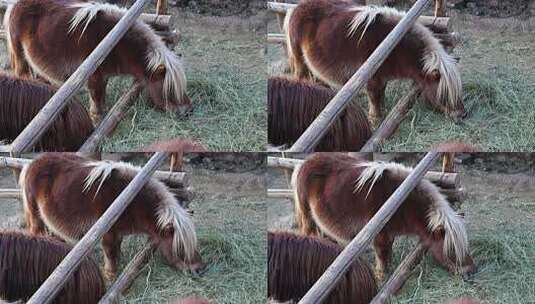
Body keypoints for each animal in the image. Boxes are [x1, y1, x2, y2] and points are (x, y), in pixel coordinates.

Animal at [3, 0, 193, 123]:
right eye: (169, 89)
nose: (188, 111)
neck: (115, 42)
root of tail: (16, 4)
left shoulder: (104, 76)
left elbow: (102, 95)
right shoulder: (94, 76)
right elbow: (96, 96)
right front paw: (97, 118)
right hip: (19, 54)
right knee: (22, 74)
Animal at [19, 153, 204, 282]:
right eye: (180, 247)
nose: (199, 269)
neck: (129, 198)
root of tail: (32, 164)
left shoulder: (118, 233)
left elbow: (117, 248)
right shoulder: (108, 232)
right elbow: (110, 252)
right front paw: (111, 274)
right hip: (34, 214)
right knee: (36, 232)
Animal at [284, 0, 464, 124]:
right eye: (445, 93)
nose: (462, 114)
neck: (393, 45)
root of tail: (297, 7)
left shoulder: (382, 79)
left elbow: (381, 95)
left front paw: (381, 112)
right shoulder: (373, 79)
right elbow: (374, 97)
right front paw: (375, 119)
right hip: (298, 58)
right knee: (300, 76)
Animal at [294, 153, 478, 282]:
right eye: (452, 250)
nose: (471, 271)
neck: (400, 200)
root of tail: (305, 163)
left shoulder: (389, 234)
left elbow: (388, 251)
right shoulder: (381, 235)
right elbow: (382, 254)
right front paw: (382, 276)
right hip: (307, 215)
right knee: (308, 233)